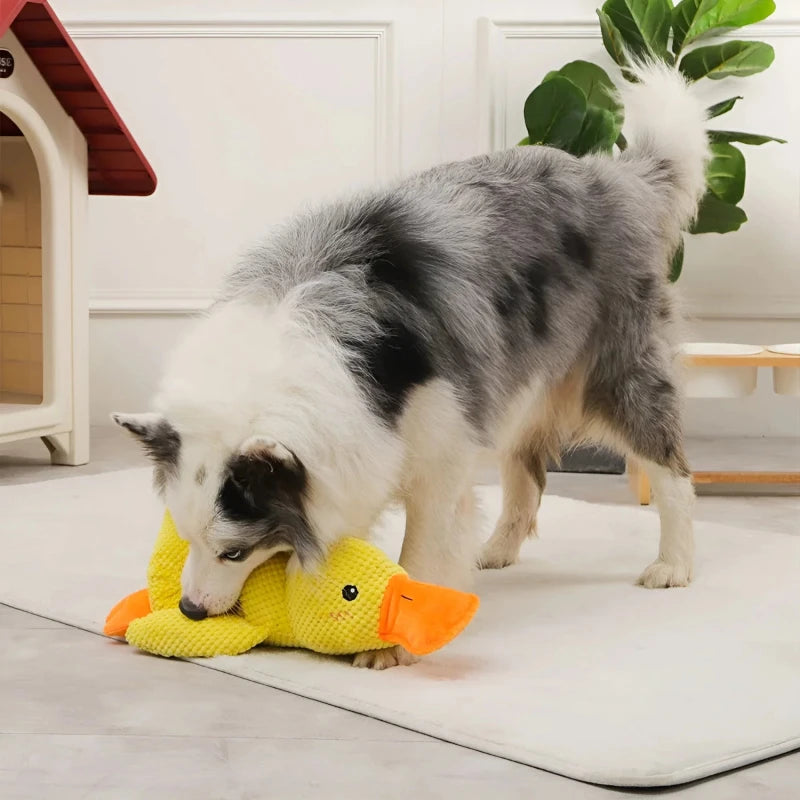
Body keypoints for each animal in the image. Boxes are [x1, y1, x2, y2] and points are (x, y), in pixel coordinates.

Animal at [114, 62, 708, 664]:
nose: (191, 609)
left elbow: (421, 544)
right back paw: (497, 549)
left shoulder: (438, 449)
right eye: (185, 535)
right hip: (513, 381)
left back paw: (674, 564)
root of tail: (614, 177)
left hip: (619, 370)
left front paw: (392, 645)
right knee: (527, 470)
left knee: (671, 470)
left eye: (234, 552)